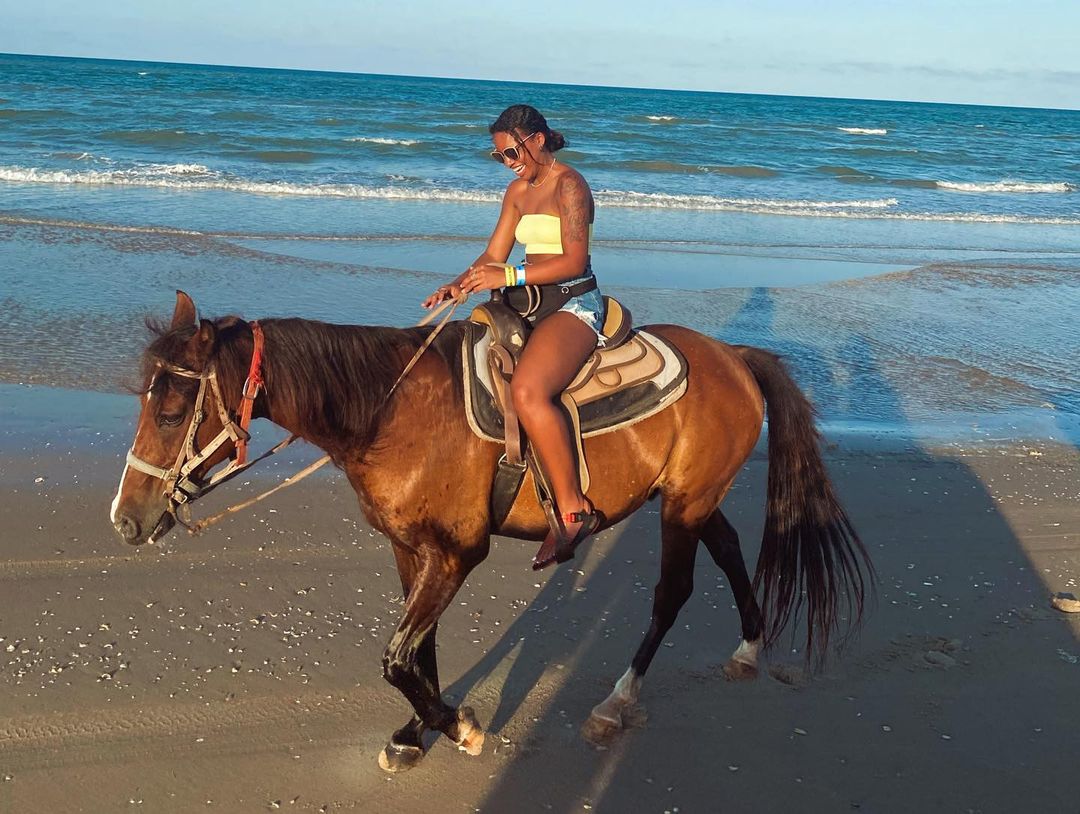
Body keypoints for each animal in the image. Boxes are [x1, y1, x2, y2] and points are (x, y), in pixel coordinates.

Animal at [110, 290, 872, 772]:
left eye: (172, 411)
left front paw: (460, 727)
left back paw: (616, 701)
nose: (126, 520)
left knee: (672, 592)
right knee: (730, 549)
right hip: (692, 496)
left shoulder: (456, 555)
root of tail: (735, 356)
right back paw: (747, 648)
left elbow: (396, 658)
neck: (391, 410)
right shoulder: (410, 549)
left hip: (682, 504)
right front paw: (416, 733)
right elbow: (418, 650)